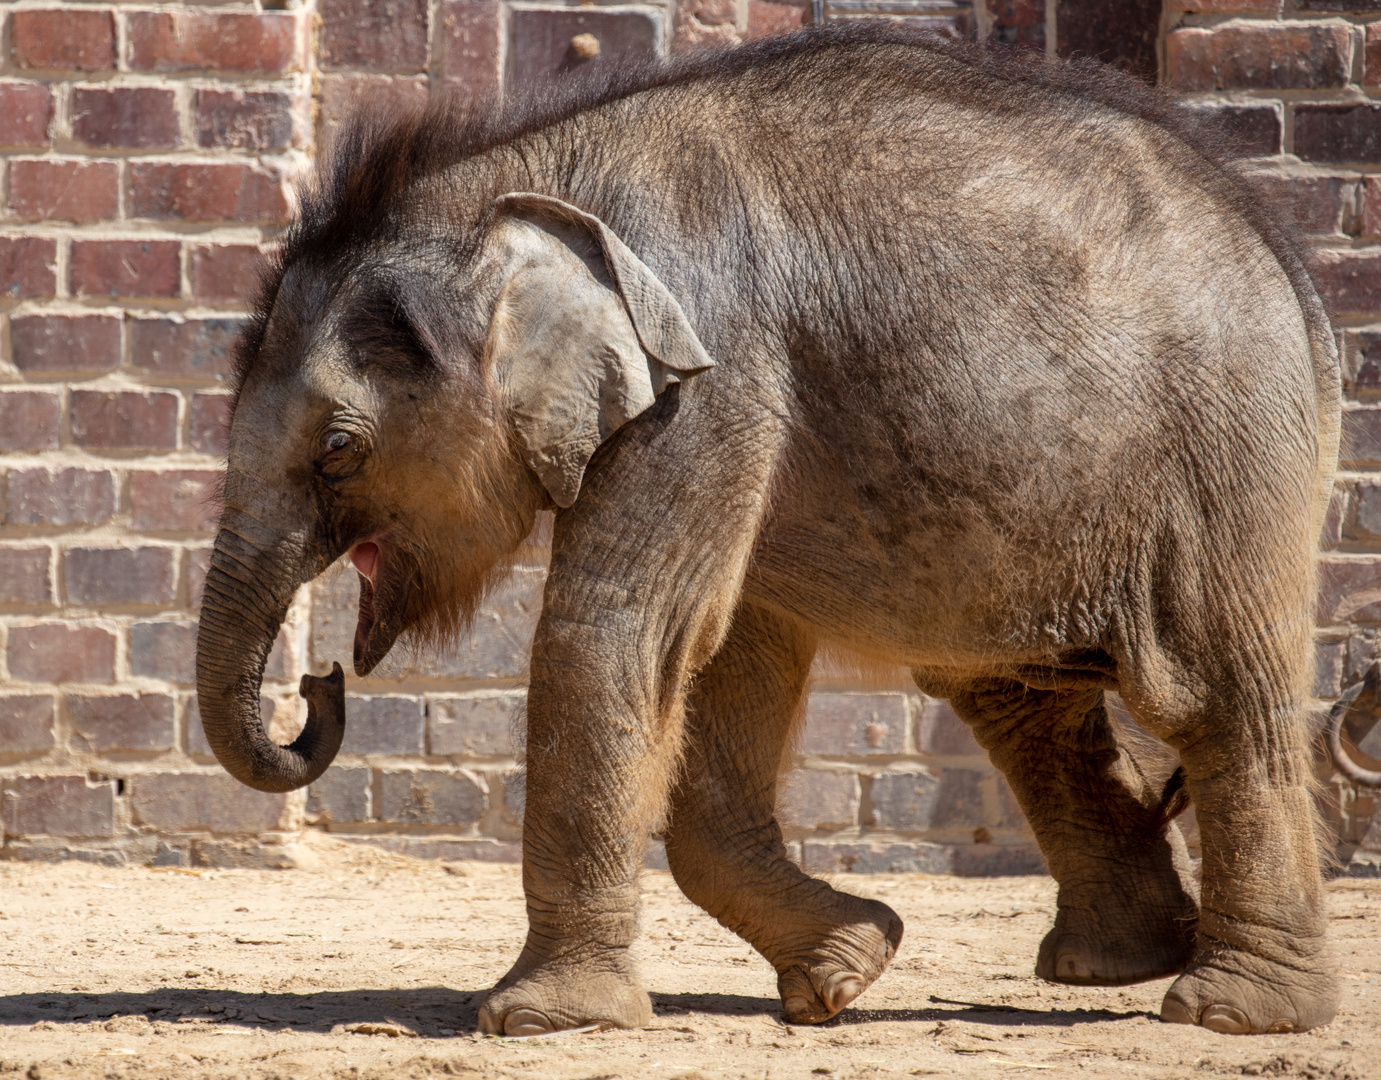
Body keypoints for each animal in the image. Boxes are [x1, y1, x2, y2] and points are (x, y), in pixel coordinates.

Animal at [200, 25, 1342, 1038]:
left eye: (338, 449)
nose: (316, 686)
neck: (520, 179)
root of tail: (1297, 277)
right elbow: (724, 662)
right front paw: (849, 968)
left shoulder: (711, 375)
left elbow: (619, 634)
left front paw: (536, 1022)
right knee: (1017, 697)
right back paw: (1113, 966)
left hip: (1227, 453)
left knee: (1216, 691)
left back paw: (1232, 1011)